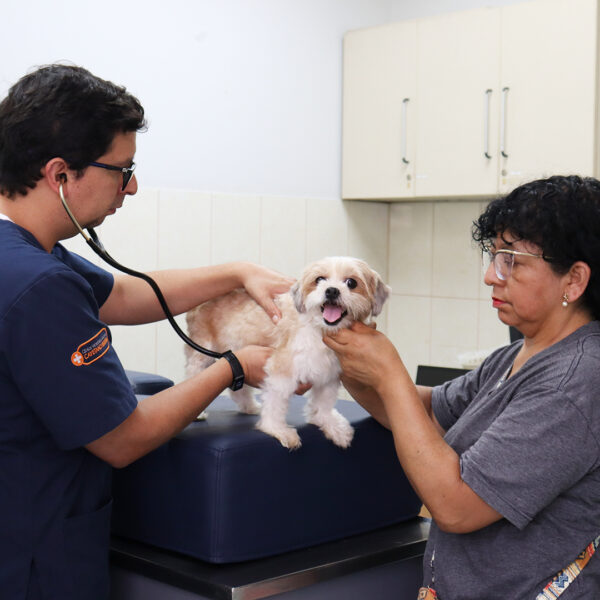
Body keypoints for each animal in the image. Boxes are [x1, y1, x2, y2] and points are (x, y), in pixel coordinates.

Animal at [186, 255, 390, 448]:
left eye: (352, 283)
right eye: (319, 279)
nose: (331, 290)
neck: (319, 330)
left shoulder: (330, 373)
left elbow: (324, 402)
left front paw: (331, 425)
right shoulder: (282, 368)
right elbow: (276, 403)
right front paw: (277, 429)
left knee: (238, 389)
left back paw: (249, 406)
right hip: (202, 350)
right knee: (195, 373)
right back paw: (200, 412)